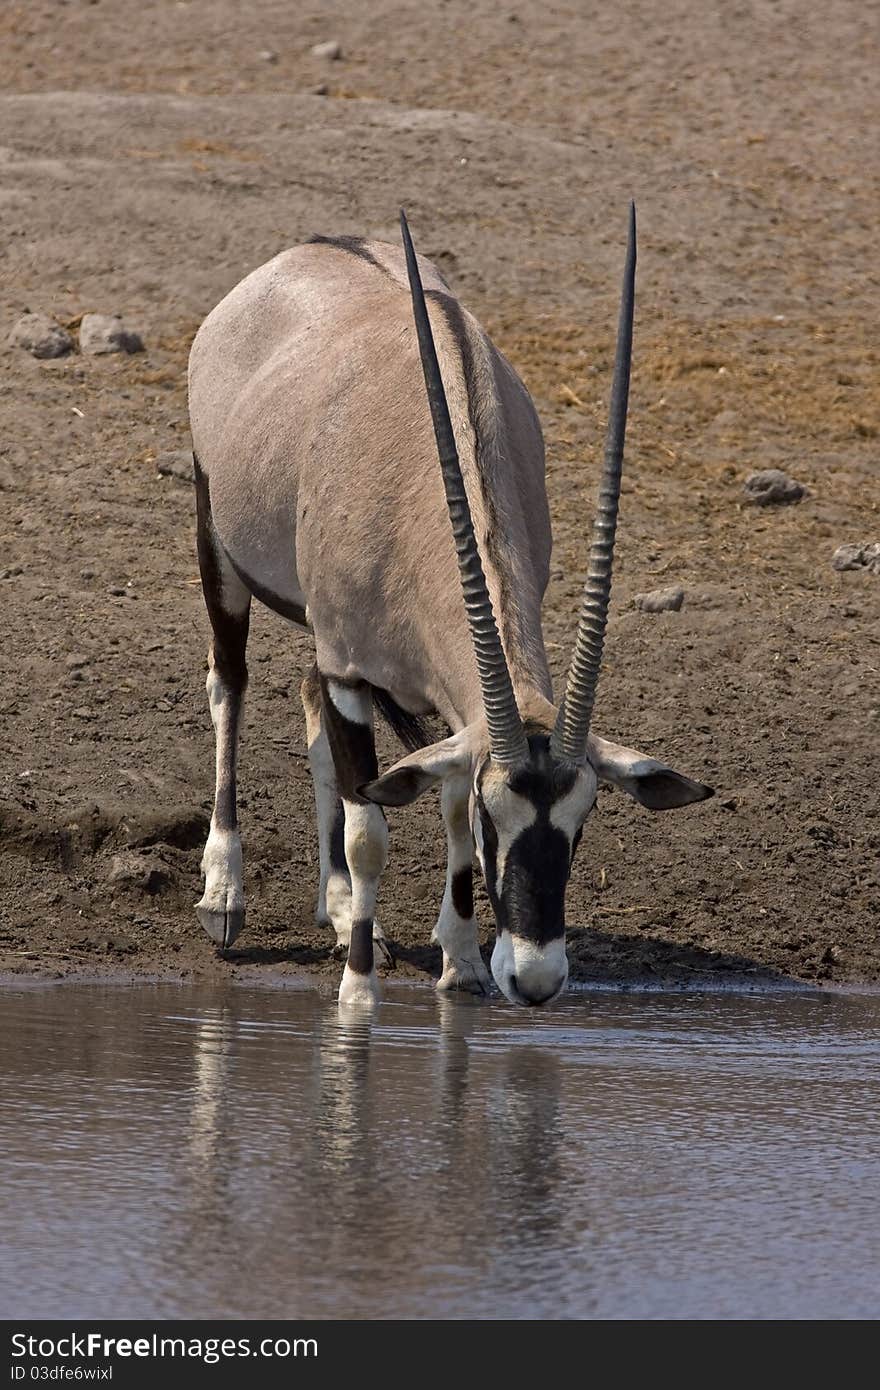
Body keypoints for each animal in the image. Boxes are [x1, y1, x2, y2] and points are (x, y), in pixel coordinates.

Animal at [187, 205, 711, 1006]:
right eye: (501, 819)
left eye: (584, 816)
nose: (535, 979)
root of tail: (310, 251)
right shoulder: (349, 671)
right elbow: (371, 832)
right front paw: (358, 994)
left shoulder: (439, 702)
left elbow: (443, 799)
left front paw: (460, 963)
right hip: (216, 534)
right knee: (230, 686)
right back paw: (225, 894)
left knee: (308, 710)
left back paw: (338, 907)